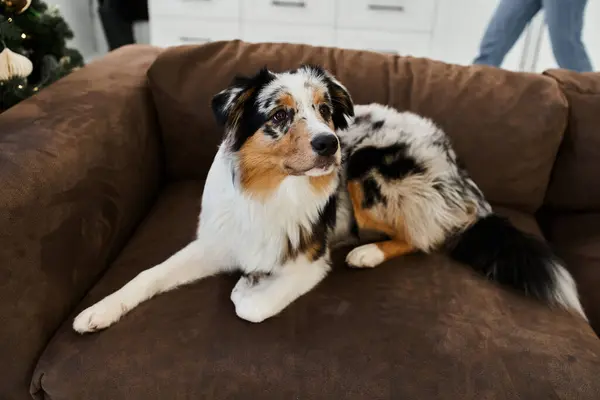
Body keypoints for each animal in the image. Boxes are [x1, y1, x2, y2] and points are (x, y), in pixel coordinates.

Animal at [74, 65, 584, 334]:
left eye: (323, 110)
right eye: (279, 115)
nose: (329, 143)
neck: (272, 191)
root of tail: (458, 168)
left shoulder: (310, 261)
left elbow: (252, 308)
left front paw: (247, 287)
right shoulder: (219, 240)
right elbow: (148, 275)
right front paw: (99, 310)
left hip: (368, 170)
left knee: (424, 236)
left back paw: (366, 253)